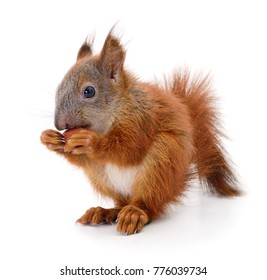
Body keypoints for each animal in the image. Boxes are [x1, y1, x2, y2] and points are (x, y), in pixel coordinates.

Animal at [40, 27, 241, 234]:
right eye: (58, 89)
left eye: (89, 91)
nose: (59, 124)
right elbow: (84, 158)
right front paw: (49, 138)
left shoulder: (142, 120)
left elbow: (130, 148)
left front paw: (90, 141)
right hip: (102, 177)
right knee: (121, 201)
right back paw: (104, 211)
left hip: (161, 162)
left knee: (148, 204)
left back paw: (135, 213)